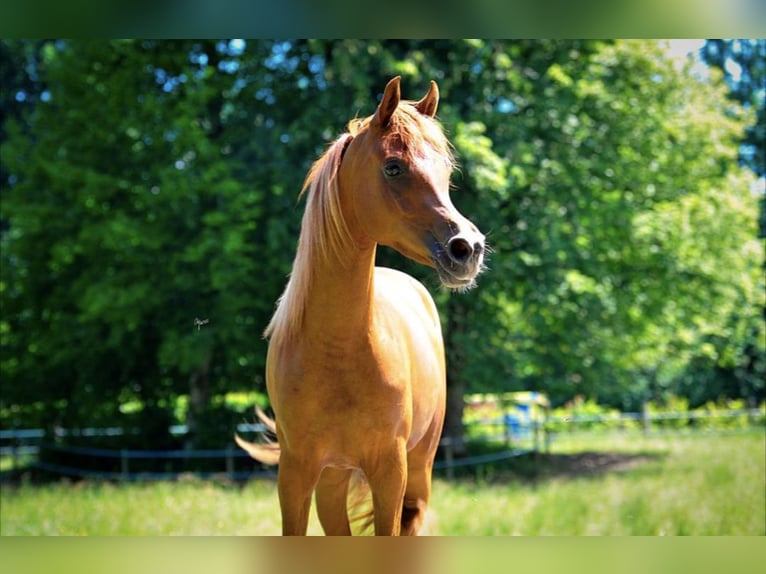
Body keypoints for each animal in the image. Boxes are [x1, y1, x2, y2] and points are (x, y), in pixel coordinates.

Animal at [236, 75, 486, 536]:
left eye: (446, 171)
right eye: (393, 167)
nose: (468, 248)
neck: (337, 350)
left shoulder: (390, 471)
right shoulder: (295, 475)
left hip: (418, 471)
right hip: (333, 480)